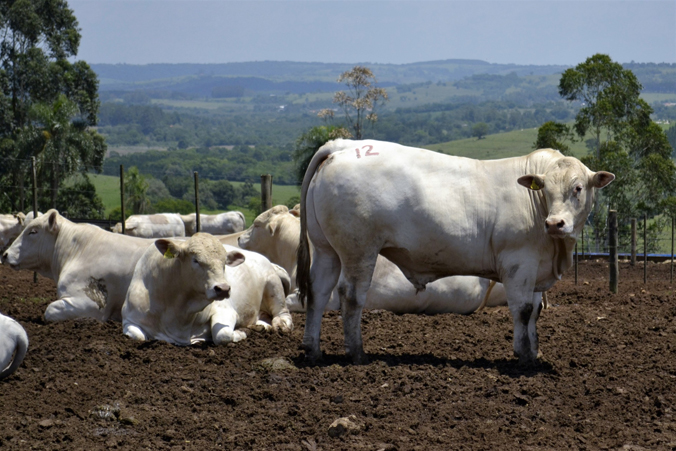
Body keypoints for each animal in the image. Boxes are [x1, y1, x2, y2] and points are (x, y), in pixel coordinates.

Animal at [124, 233, 294, 346]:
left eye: (224, 262)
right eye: (196, 260)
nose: (223, 289)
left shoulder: (225, 311)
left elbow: (222, 335)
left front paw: (241, 333)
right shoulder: (129, 319)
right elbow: (137, 336)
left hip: (273, 284)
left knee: (282, 311)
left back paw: (281, 324)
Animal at [298, 139, 612, 366]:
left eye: (578, 188)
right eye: (544, 188)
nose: (555, 223)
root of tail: (345, 145)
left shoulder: (535, 268)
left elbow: (535, 311)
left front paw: (534, 353)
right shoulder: (518, 262)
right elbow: (522, 310)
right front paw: (523, 356)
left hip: (326, 250)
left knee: (317, 293)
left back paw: (313, 350)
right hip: (359, 250)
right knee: (351, 297)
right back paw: (358, 354)